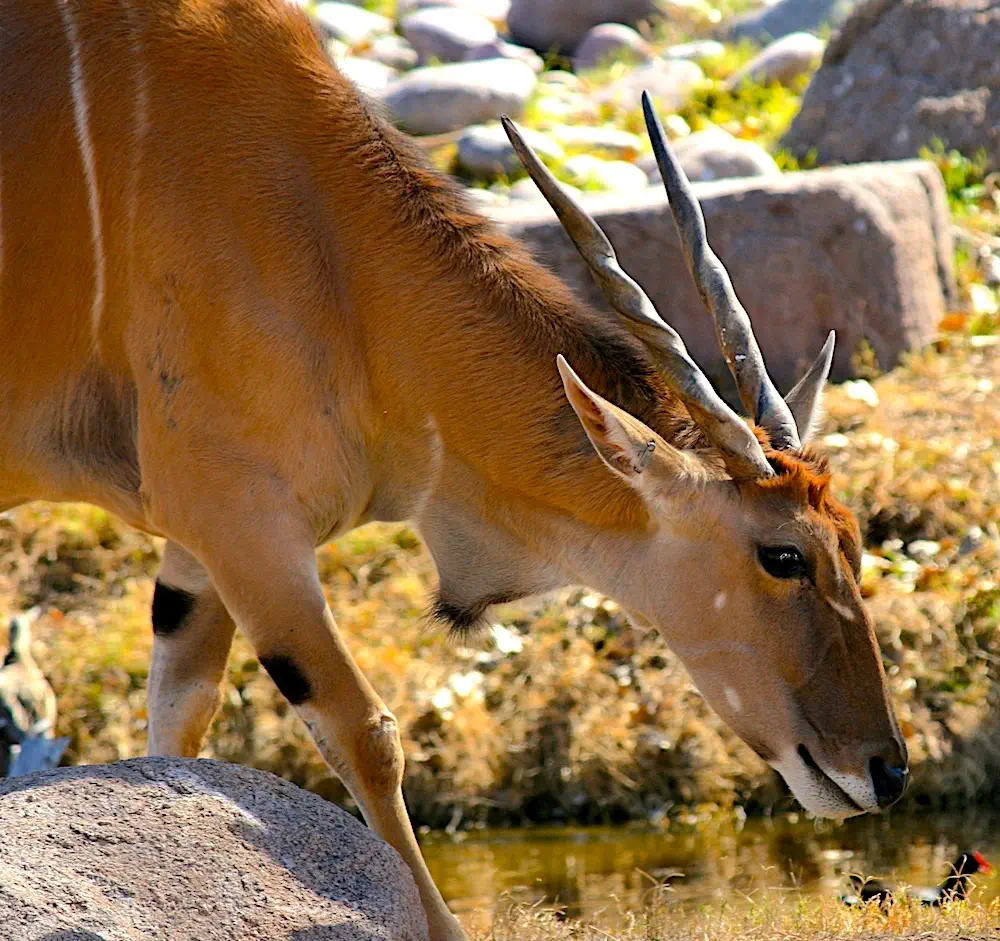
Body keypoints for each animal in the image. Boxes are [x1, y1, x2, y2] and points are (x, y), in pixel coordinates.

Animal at [0, 3, 908, 936]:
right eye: (783, 555)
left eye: (856, 545)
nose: (887, 770)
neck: (340, 264)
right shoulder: (244, 519)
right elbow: (366, 730)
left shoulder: (197, 544)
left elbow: (177, 729)